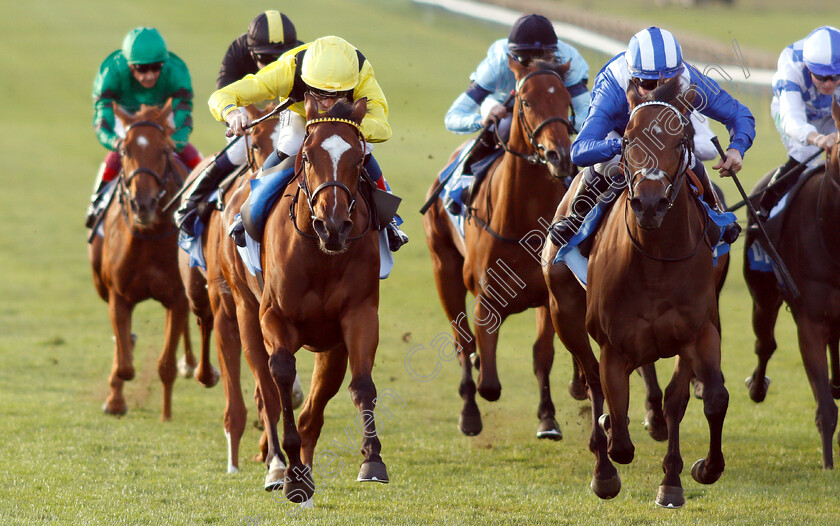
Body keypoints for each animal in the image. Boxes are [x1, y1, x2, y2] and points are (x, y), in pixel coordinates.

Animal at [88, 103, 197, 422]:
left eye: (165, 150)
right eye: (124, 150)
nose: (143, 204)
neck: (149, 235)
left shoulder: (177, 298)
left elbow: (166, 364)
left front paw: (166, 415)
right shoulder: (118, 295)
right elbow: (124, 364)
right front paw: (115, 401)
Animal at [217, 96, 388, 508]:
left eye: (358, 157)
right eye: (308, 156)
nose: (333, 225)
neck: (320, 256)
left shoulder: (357, 316)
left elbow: (361, 385)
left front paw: (372, 461)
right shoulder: (274, 318)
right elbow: (279, 379)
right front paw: (290, 474)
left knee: (313, 409)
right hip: (244, 312)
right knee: (265, 391)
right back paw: (279, 466)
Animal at [424, 56, 580, 442]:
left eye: (565, 99)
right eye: (525, 101)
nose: (559, 156)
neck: (522, 222)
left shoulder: (547, 296)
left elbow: (542, 354)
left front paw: (548, 418)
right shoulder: (486, 299)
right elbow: (489, 383)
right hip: (443, 269)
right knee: (461, 340)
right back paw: (469, 413)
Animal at [544, 76, 728, 510]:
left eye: (681, 140)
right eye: (627, 139)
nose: (649, 202)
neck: (656, 262)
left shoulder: (699, 332)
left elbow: (707, 398)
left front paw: (692, 473)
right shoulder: (615, 345)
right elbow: (618, 428)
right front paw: (608, 459)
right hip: (565, 315)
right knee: (593, 382)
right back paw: (603, 467)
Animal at [744, 98, 840, 470]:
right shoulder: (809, 323)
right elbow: (826, 406)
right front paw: (827, 465)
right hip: (763, 296)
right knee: (765, 344)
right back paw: (756, 386)